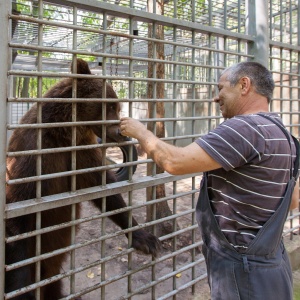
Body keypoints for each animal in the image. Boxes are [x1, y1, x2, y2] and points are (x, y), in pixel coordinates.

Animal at [5, 57, 162, 298]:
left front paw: (145, 238)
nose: (120, 132)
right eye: (110, 106)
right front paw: (22, 289)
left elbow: (106, 192)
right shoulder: (33, 156)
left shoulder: (81, 156)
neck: (64, 134)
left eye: (117, 106)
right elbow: (20, 215)